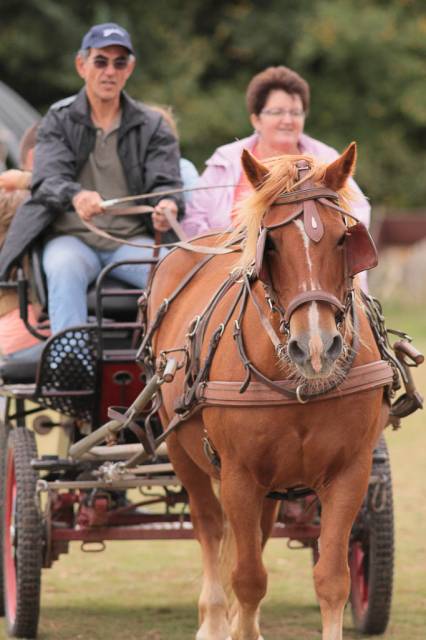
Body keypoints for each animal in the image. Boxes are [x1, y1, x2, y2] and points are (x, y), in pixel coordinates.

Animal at [145, 145, 392, 640]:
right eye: (271, 245)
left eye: (344, 239)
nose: (315, 346)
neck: (299, 386)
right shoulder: (239, 475)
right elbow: (248, 578)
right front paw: (234, 623)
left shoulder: (350, 472)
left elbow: (331, 579)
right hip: (185, 452)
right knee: (210, 527)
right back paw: (213, 618)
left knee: (254, 534)